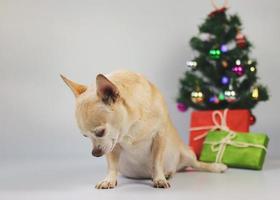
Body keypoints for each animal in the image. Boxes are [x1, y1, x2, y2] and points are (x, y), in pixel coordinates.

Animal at [60, 70, 226, 189]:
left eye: (100, 132)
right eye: (85, 136)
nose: (95, 153)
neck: (130, 127)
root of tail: (179, 166)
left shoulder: (159, 137)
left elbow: (156, 162)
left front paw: (159, 178)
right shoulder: (113, 145)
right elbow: (112, 165)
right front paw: (109, 180)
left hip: (187, 153)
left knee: (196, 164)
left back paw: (215, 167)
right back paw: (169, 173)